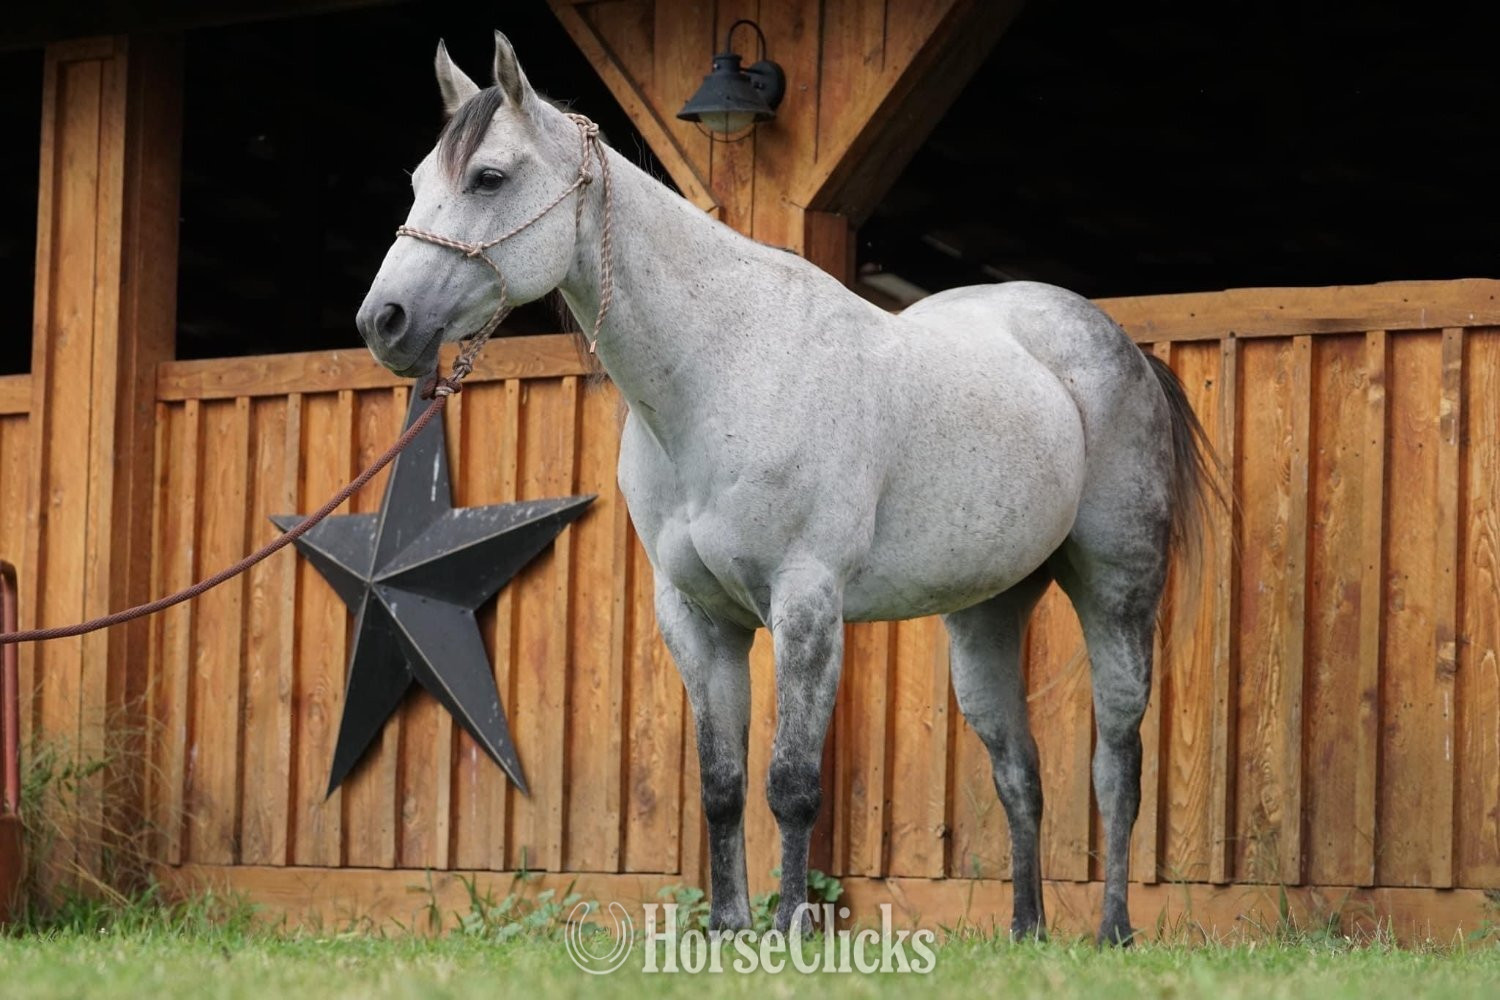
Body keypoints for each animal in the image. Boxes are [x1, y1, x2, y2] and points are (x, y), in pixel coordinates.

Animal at [355, 32, 1216, 946]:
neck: (725, 367)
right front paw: (728, 930)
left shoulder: (805, 605)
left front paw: (790, 930)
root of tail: (1116, 345)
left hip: (1118, 591)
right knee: (1020, 771)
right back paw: (1026, 933)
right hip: (986, 615)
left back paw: (1114, 931)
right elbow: (723, 785)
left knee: (1117, 761)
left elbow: (792, 783)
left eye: (489, 177)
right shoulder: (698, 618)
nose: (384, 322)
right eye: (418, 180)